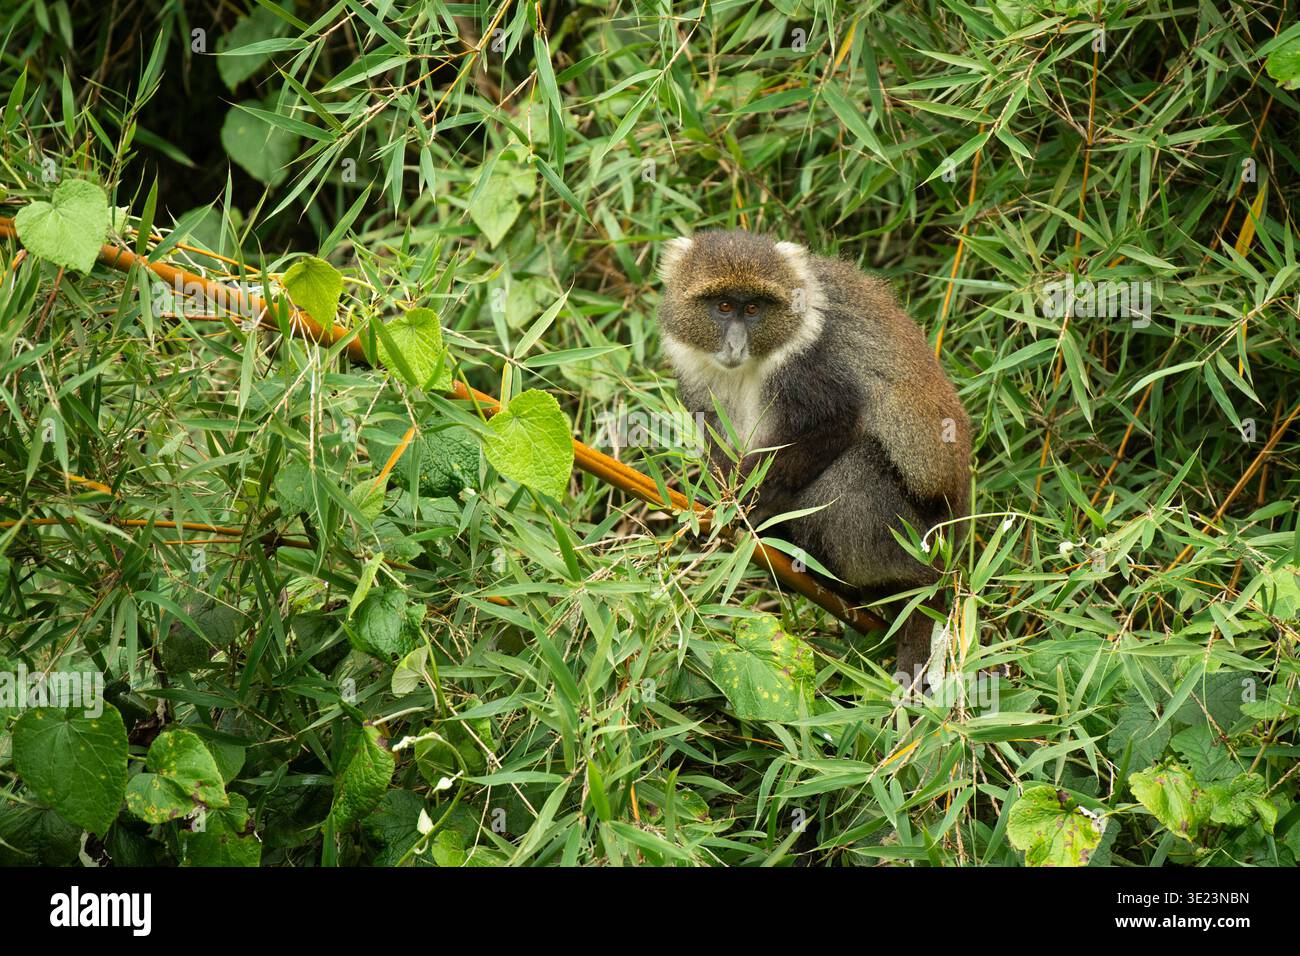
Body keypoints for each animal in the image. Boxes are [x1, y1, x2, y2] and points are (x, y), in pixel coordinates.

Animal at [655, 229, 971, 683]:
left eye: (754, 308)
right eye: (723, 306)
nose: (734, 345)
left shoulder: (813, 365)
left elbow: (840, 423)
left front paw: (750, 505)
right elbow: (716, 440)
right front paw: (718, 510)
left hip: (920, 536)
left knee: (855, 472)